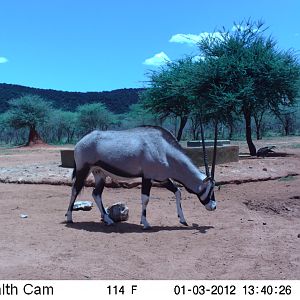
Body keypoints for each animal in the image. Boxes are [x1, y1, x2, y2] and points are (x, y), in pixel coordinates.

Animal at [65, 125, 216, 229]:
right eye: (210, 189)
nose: (214, 207)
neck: (164, 149)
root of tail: (81, 141)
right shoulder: (147, 177)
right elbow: (145, 199)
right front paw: (145, 223)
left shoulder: (162, 178)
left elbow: (178, 191)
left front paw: (182, 220)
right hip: (83, 170)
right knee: (75, 190)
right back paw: (69, 218)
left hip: (100, 174)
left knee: (96, 194)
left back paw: (108, 220)